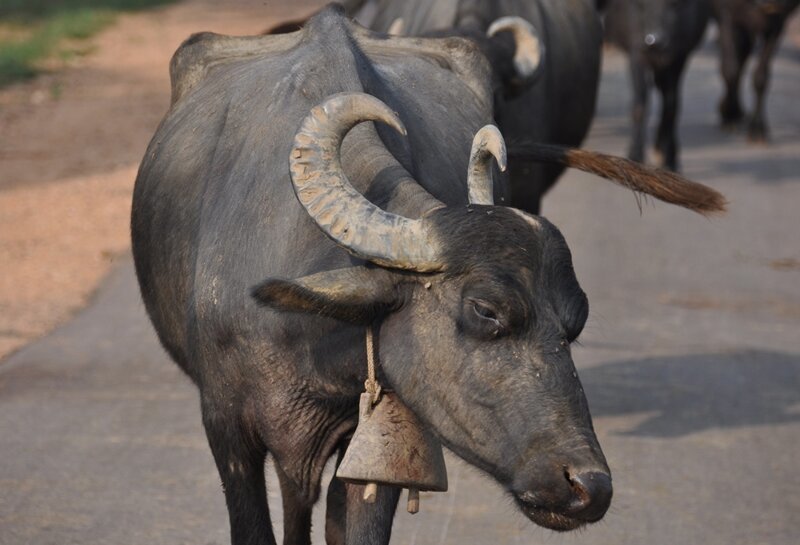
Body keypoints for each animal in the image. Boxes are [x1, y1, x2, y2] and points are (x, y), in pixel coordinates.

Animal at [604, 0, 708, 169]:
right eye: (641, 3)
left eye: (675, 3)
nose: (654, 41)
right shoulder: (637, 54)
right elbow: (640, 104)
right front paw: (635, 155)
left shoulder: (679, 55)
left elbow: (671, 105)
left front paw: (668, 159)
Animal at [712, 0, 800, 140]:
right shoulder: (727, 15)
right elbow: (729, 70)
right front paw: (729, 115)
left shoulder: (777, 23)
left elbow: (761, 77)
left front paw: (757, 128)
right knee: (739, 58)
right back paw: (733, 112)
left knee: (744, 55)